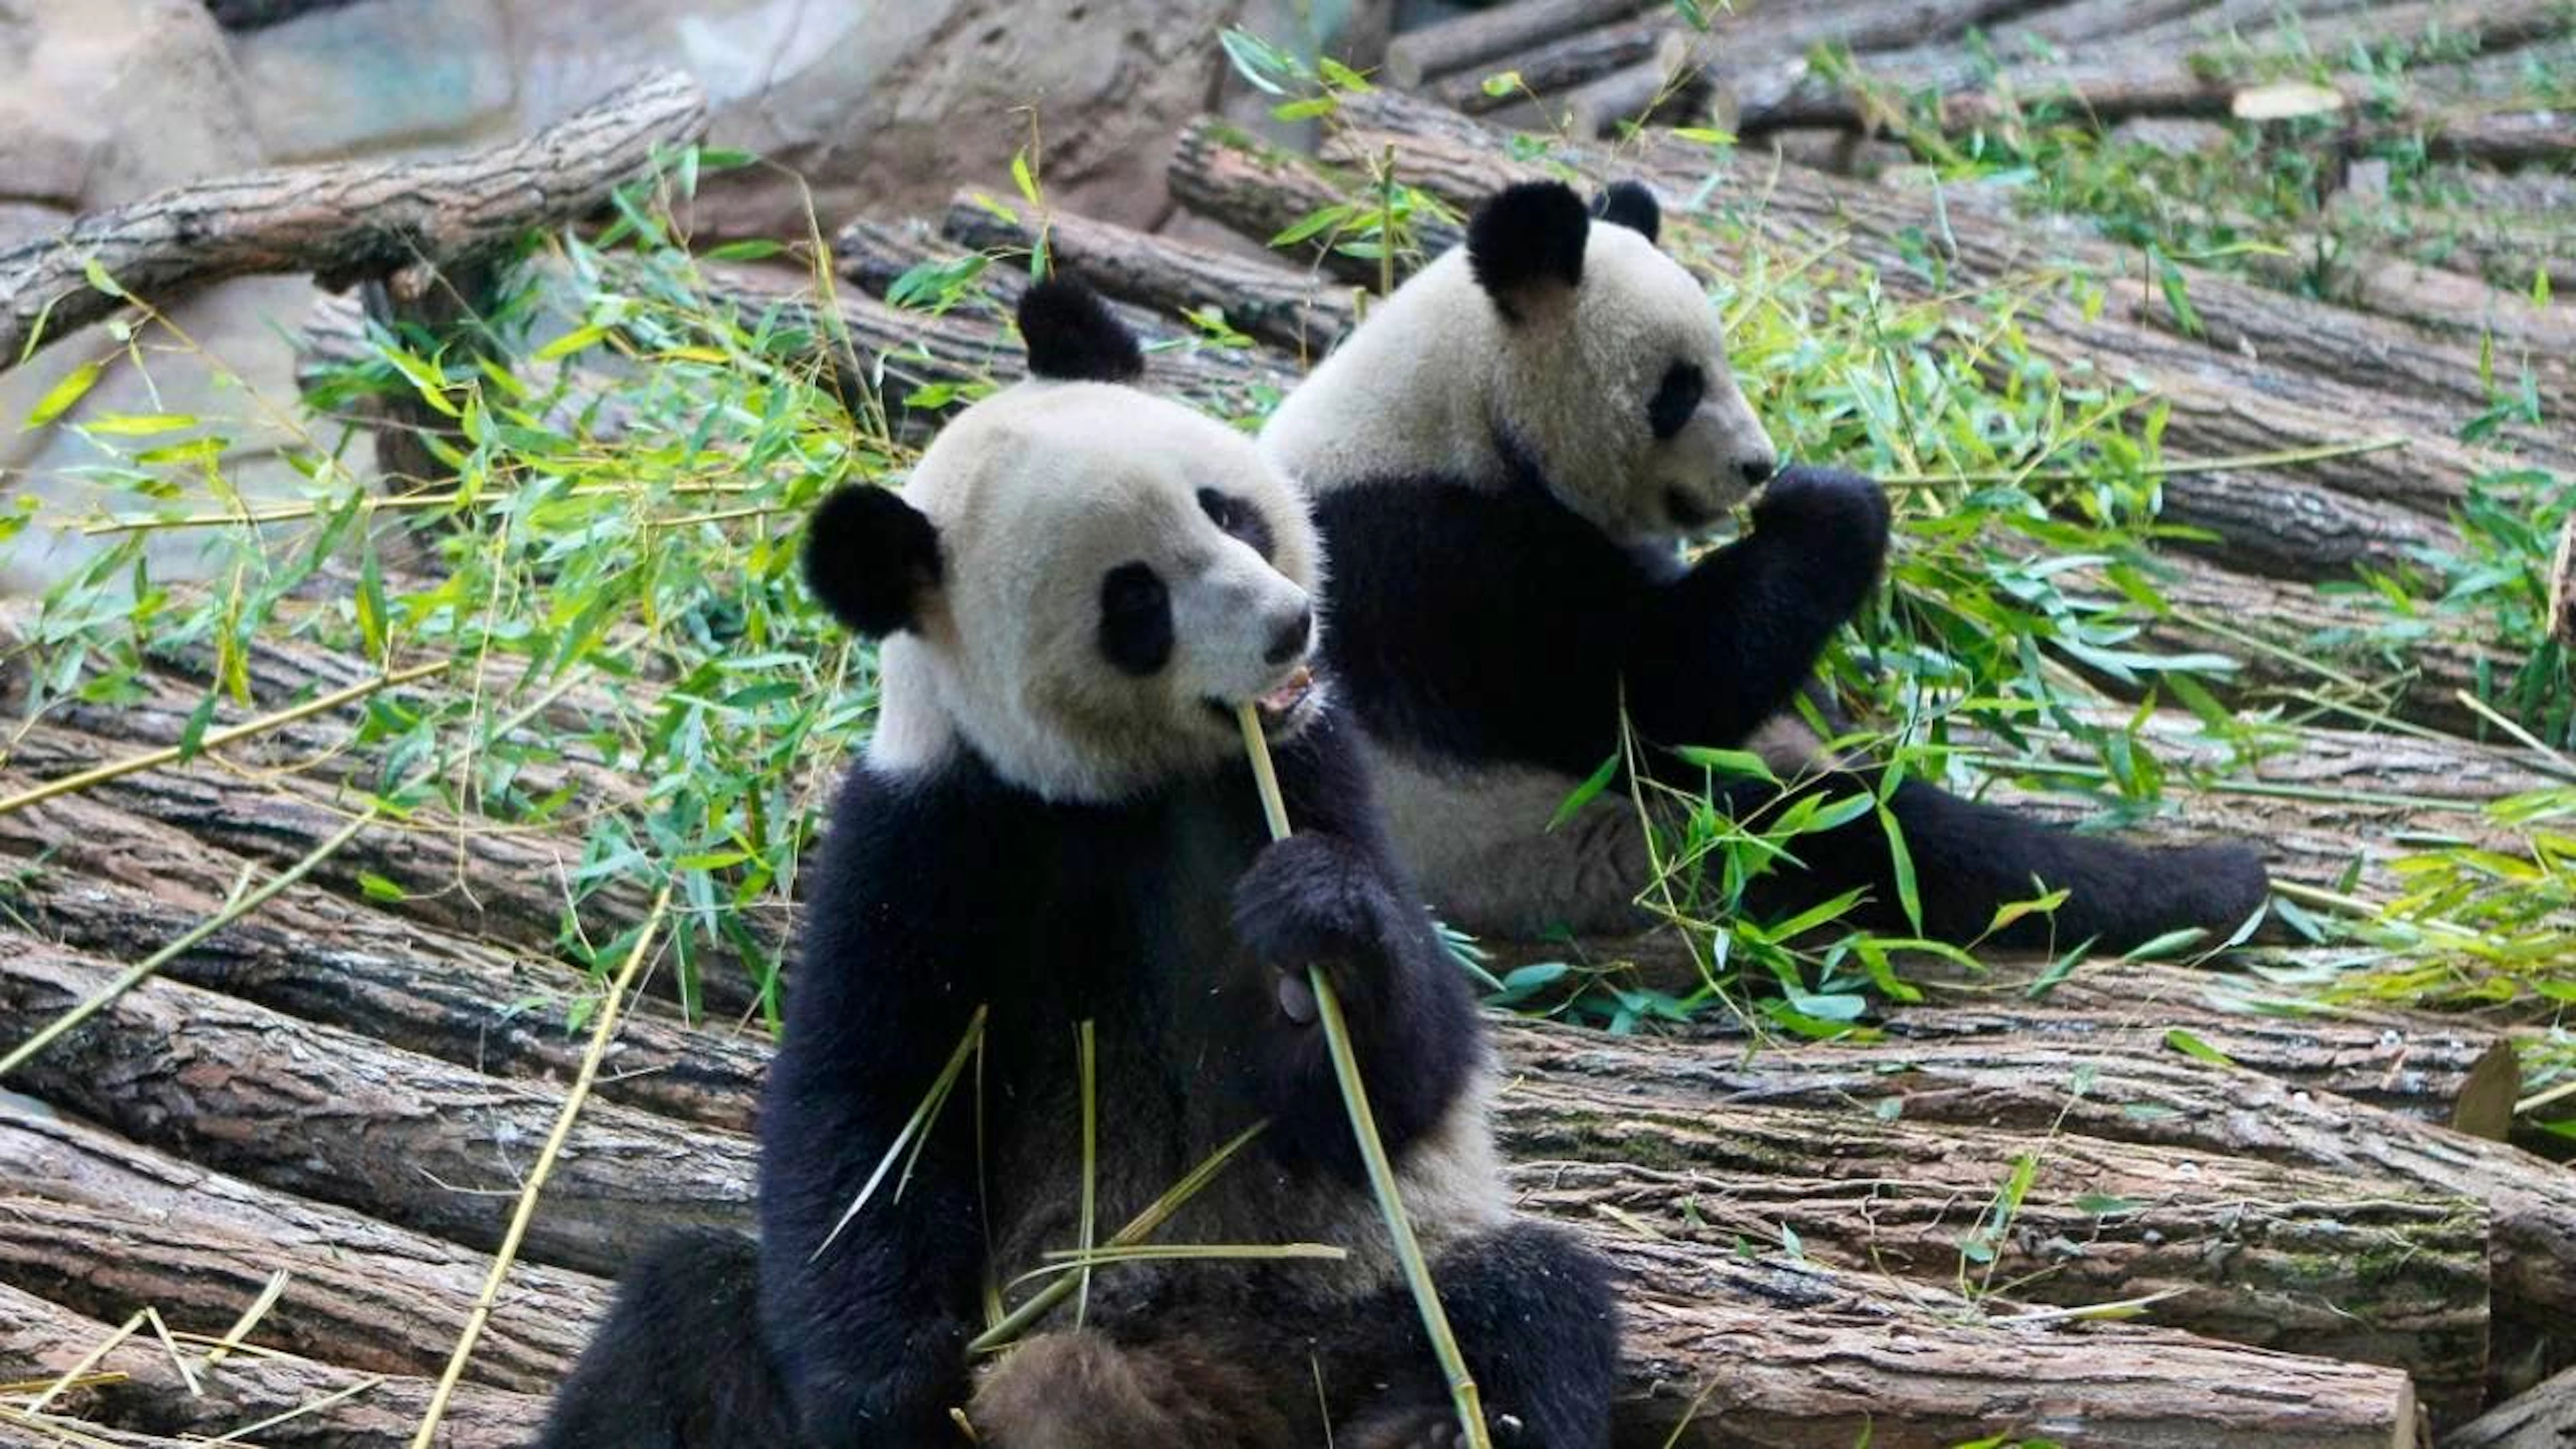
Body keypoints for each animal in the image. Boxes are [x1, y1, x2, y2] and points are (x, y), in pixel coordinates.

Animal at [537, 279, 1619, 1449]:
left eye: (1226, 511)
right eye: (1135, 602)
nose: (1289, 628)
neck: (1113, 793)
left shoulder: (1307, 770)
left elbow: (1392, 1085)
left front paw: (1321, 923)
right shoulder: (926, 835)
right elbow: (865, 1119)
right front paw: (890, 1401)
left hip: (1346, 1316)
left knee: (1524, 1308)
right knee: (682, 1310)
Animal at [1260, 179, 2270, 951]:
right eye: (1677, 389)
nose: (1757, 466)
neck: (1457, 408)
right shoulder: (1439, 562)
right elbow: (1650, 692)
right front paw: (1835, 504)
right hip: (1611, 848)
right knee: (1871, 837)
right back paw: (2208, 886)